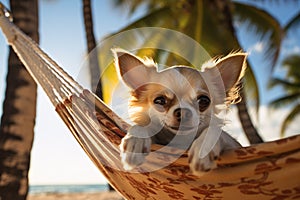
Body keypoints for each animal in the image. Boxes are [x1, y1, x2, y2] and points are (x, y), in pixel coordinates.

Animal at [115, 48, 244, 173]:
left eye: (204, 101)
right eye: (160, 101)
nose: (183, 111)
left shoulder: (235, 145)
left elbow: (217, 131)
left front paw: (203, 149)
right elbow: (140, 126)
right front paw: (135, 142)